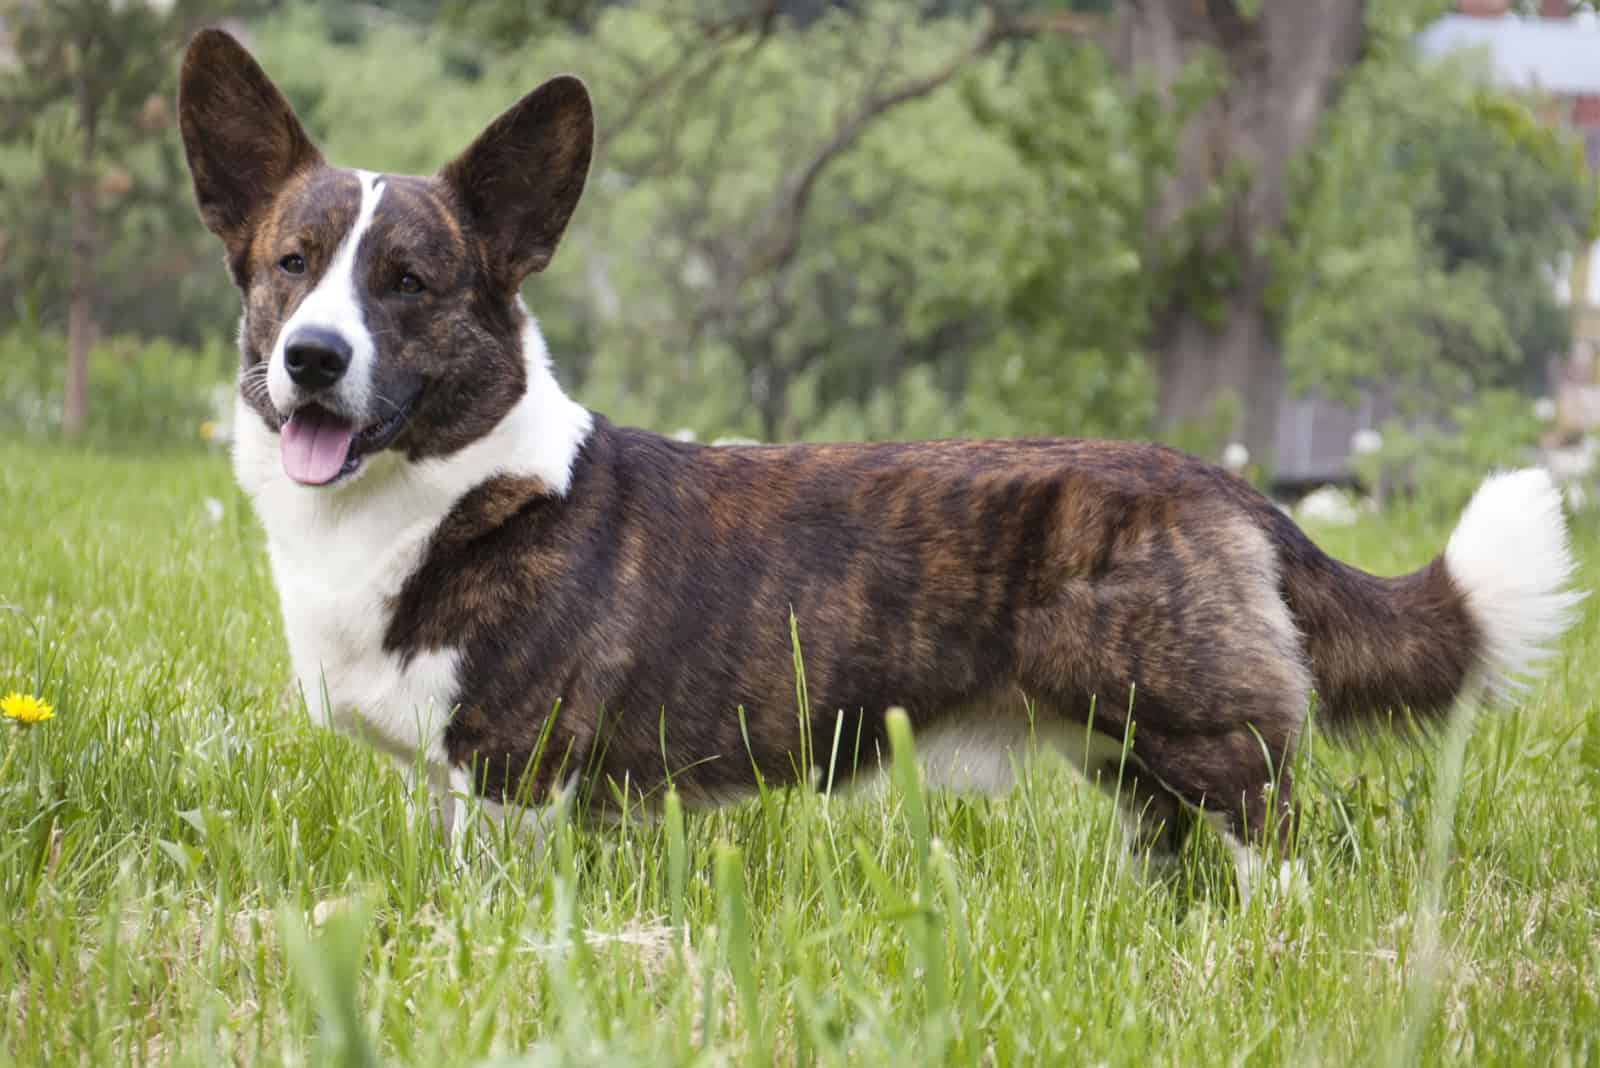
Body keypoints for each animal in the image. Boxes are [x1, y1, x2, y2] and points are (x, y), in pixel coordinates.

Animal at [181, 29, 1580, 895]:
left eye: (408, 283)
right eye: (291, 263)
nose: (311, 358)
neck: (447, 493)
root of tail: (1226, 485)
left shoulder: (513, 782)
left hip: (1208, 745)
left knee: (1281, 865)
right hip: (1137, 767)